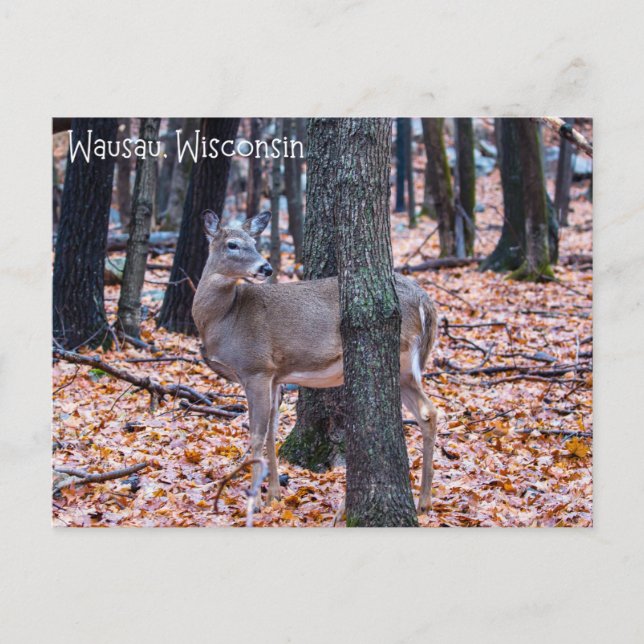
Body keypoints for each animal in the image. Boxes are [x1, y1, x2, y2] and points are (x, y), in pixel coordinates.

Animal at [192, 210, 439, 514]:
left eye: (254, 242)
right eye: (233, 245)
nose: (266, 268)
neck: (223, 320)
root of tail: (425, 300)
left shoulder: (256, 368)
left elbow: (257, 435)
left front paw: (255, 502)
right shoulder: (275, 375)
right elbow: (272, 431)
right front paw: (274, 495)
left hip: (399, 355)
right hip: (405, 371)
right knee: (428, 413)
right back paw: (424, 502)